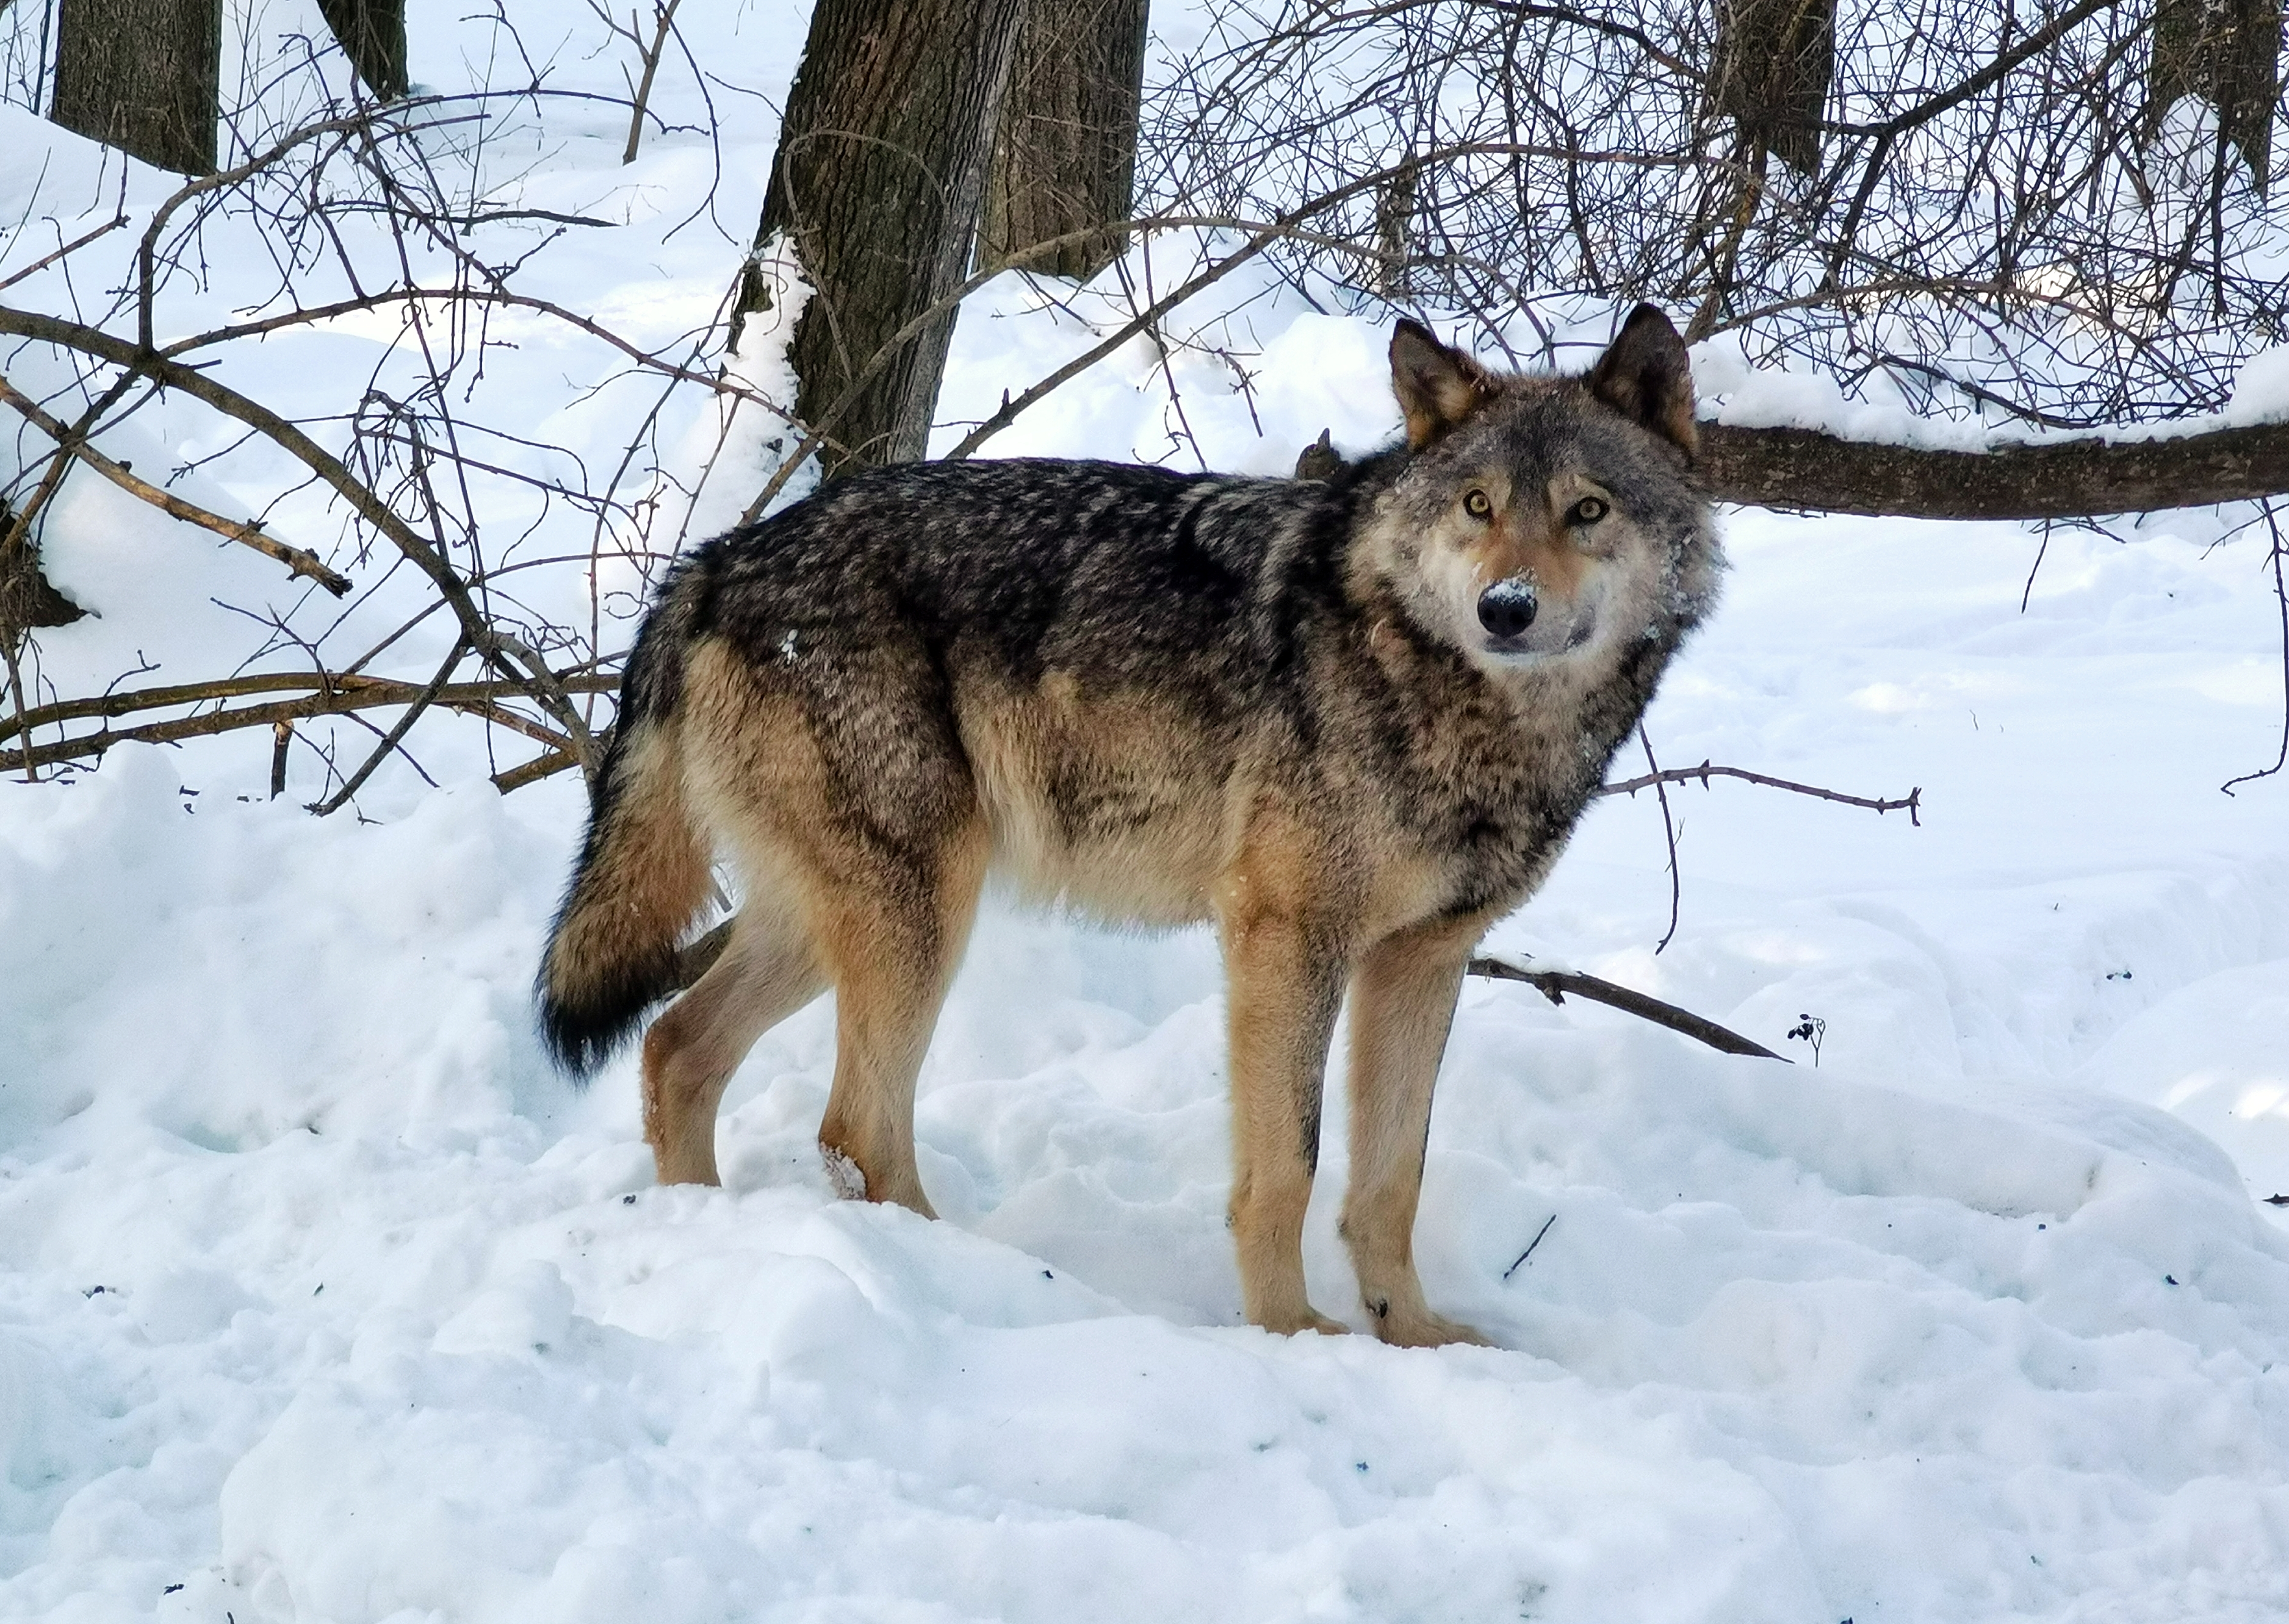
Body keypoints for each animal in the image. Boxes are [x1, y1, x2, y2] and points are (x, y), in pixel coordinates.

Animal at [535, 306, 1721, 1345]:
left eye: (1587, 510)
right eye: (1476, 505)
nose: (1504, 609)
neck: (1457, 703)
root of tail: (712, 562)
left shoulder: (1421, 962)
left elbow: (1392, 1179)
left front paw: (1414, 1337)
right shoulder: (1285, 940)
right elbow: (1287, 1169)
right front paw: (1291, 1334)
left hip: (831, 923)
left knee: (677, 1048)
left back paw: (703, 1230)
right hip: (923, 916)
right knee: (852, 1128)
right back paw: (970, 1283)